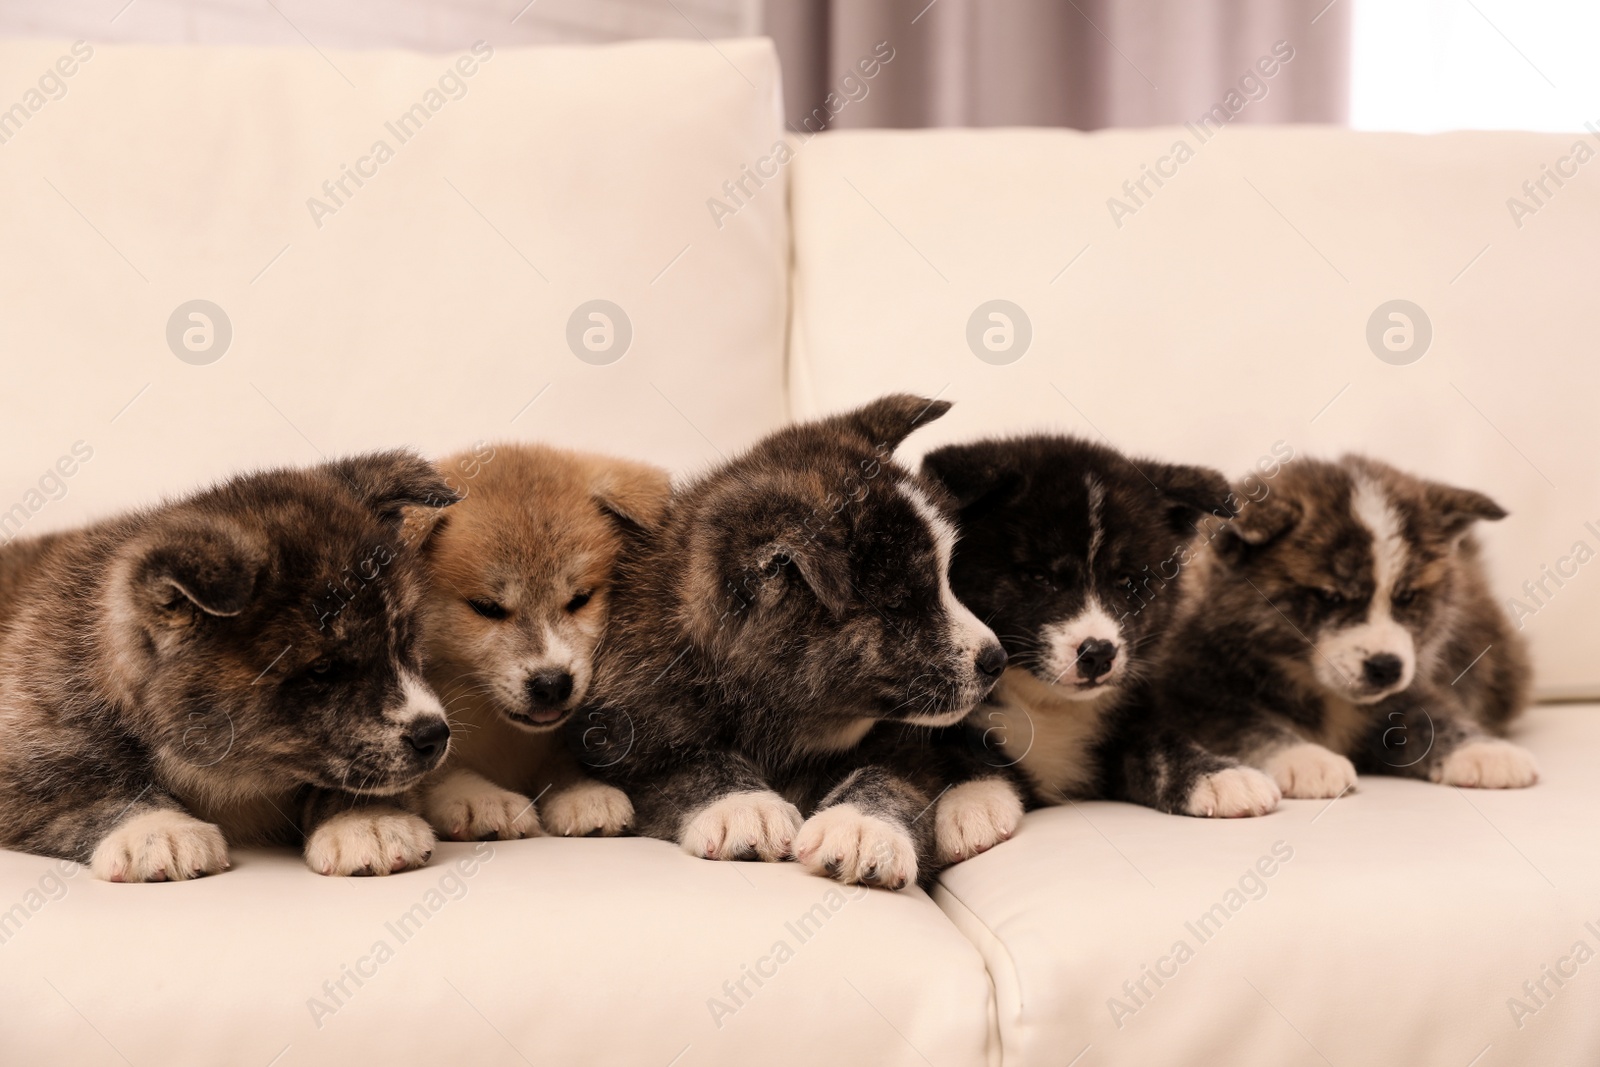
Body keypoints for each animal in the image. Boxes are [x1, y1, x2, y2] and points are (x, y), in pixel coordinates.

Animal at [0, 454, 464, 883]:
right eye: (322, 669)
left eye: (404, 639)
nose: (434, 736)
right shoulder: (26, 764)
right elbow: (88, 794)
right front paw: (158, 831)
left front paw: (368, 819)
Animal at [416, 441, 672, 844]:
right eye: (486, 607)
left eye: (581, 599)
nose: (552, 684)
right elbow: (438, 769)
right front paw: (480, 798)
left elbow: (565, 762)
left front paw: (583, 792)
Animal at [569, 396, 1004, 889]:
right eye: (899, 605)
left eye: (947, 581)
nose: (997, 660)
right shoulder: (636, 743)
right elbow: (689, 767)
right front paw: (743, 805)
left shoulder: (908, 748)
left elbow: (890, 777)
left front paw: (861, 826)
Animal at [921, 435, 1280, 819]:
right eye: (1038, 576)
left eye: (1127, 582)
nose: (1098, 654)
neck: (1047, 703)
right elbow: (955, 749)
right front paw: (975, 800)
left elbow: (1159, 747)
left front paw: (1218, 774)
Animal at [1152, 454, 1536, 796]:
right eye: (1330, 597)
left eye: (1407, 596)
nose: (1386, 668)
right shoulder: (1196, 699)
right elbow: (1249, 727)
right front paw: (1306, 759)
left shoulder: (1407, 693)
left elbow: (1432, 719)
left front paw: (1484, 750)